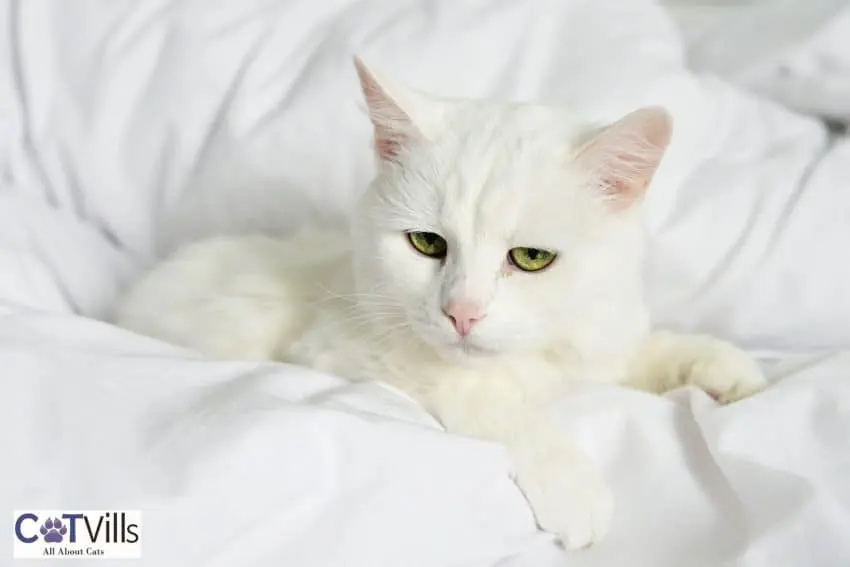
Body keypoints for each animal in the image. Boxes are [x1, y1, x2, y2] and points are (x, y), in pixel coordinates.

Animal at [109, 57, 764, 552]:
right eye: (427, 244)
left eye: (531, 258)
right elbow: (488, 400)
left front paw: (726, 369)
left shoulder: (597, 339)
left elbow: (642, 351)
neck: (537, 364)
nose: (462, 312)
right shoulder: (340, 354)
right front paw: (572, 482)